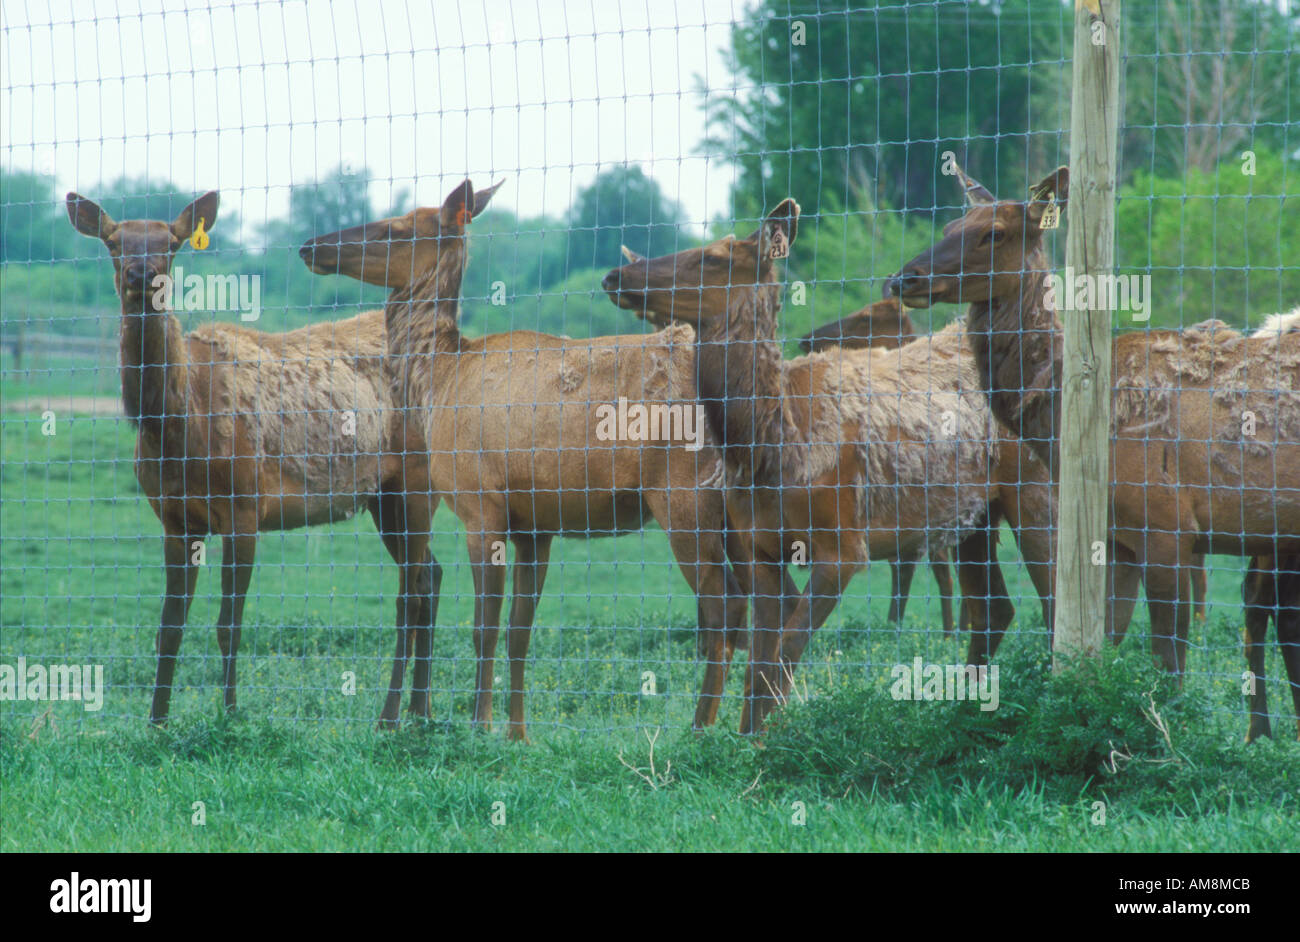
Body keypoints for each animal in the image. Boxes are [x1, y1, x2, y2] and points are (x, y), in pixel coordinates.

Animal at [67, 190, 441, 728]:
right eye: (114, 242)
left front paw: (229, 714)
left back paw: (391, 715)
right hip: (384, 496)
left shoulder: (245, 506)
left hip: (416, 479)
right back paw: (420, 710)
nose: (143, 273)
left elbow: (229, 624)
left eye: (172, 243)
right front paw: (156, 721)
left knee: (411, 591)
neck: (178, 429)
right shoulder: (174, 518)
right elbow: (169, 625)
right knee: (431, 576)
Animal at [299, 179, 749, 742]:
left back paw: (701, 728)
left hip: (685, 495)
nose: (310, 245)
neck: (437, 383)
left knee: (724, 606)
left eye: (395, 227)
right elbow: (520, 630)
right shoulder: (535, 526)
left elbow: (484, 626)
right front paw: (518, 732)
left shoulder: (479, 505)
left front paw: (480, 724)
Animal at [602, 200, 1068, 733]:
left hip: (1033, 488)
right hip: (971, 517)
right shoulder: (757, 546)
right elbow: (759, 661)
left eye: (714, 258)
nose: (615, 274)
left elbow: (784, 653)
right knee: (996, 611)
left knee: (1052, 600)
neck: (769, 449)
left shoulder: (843, 544)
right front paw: (744, 739)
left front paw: (767, 741)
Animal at [886, 164, 1300, 681]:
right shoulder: (1118, 535)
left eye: (993, 233)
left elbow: (1168, 658)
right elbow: (1107, 639)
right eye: (948, 227)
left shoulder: (1167, 524)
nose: (904, 279)